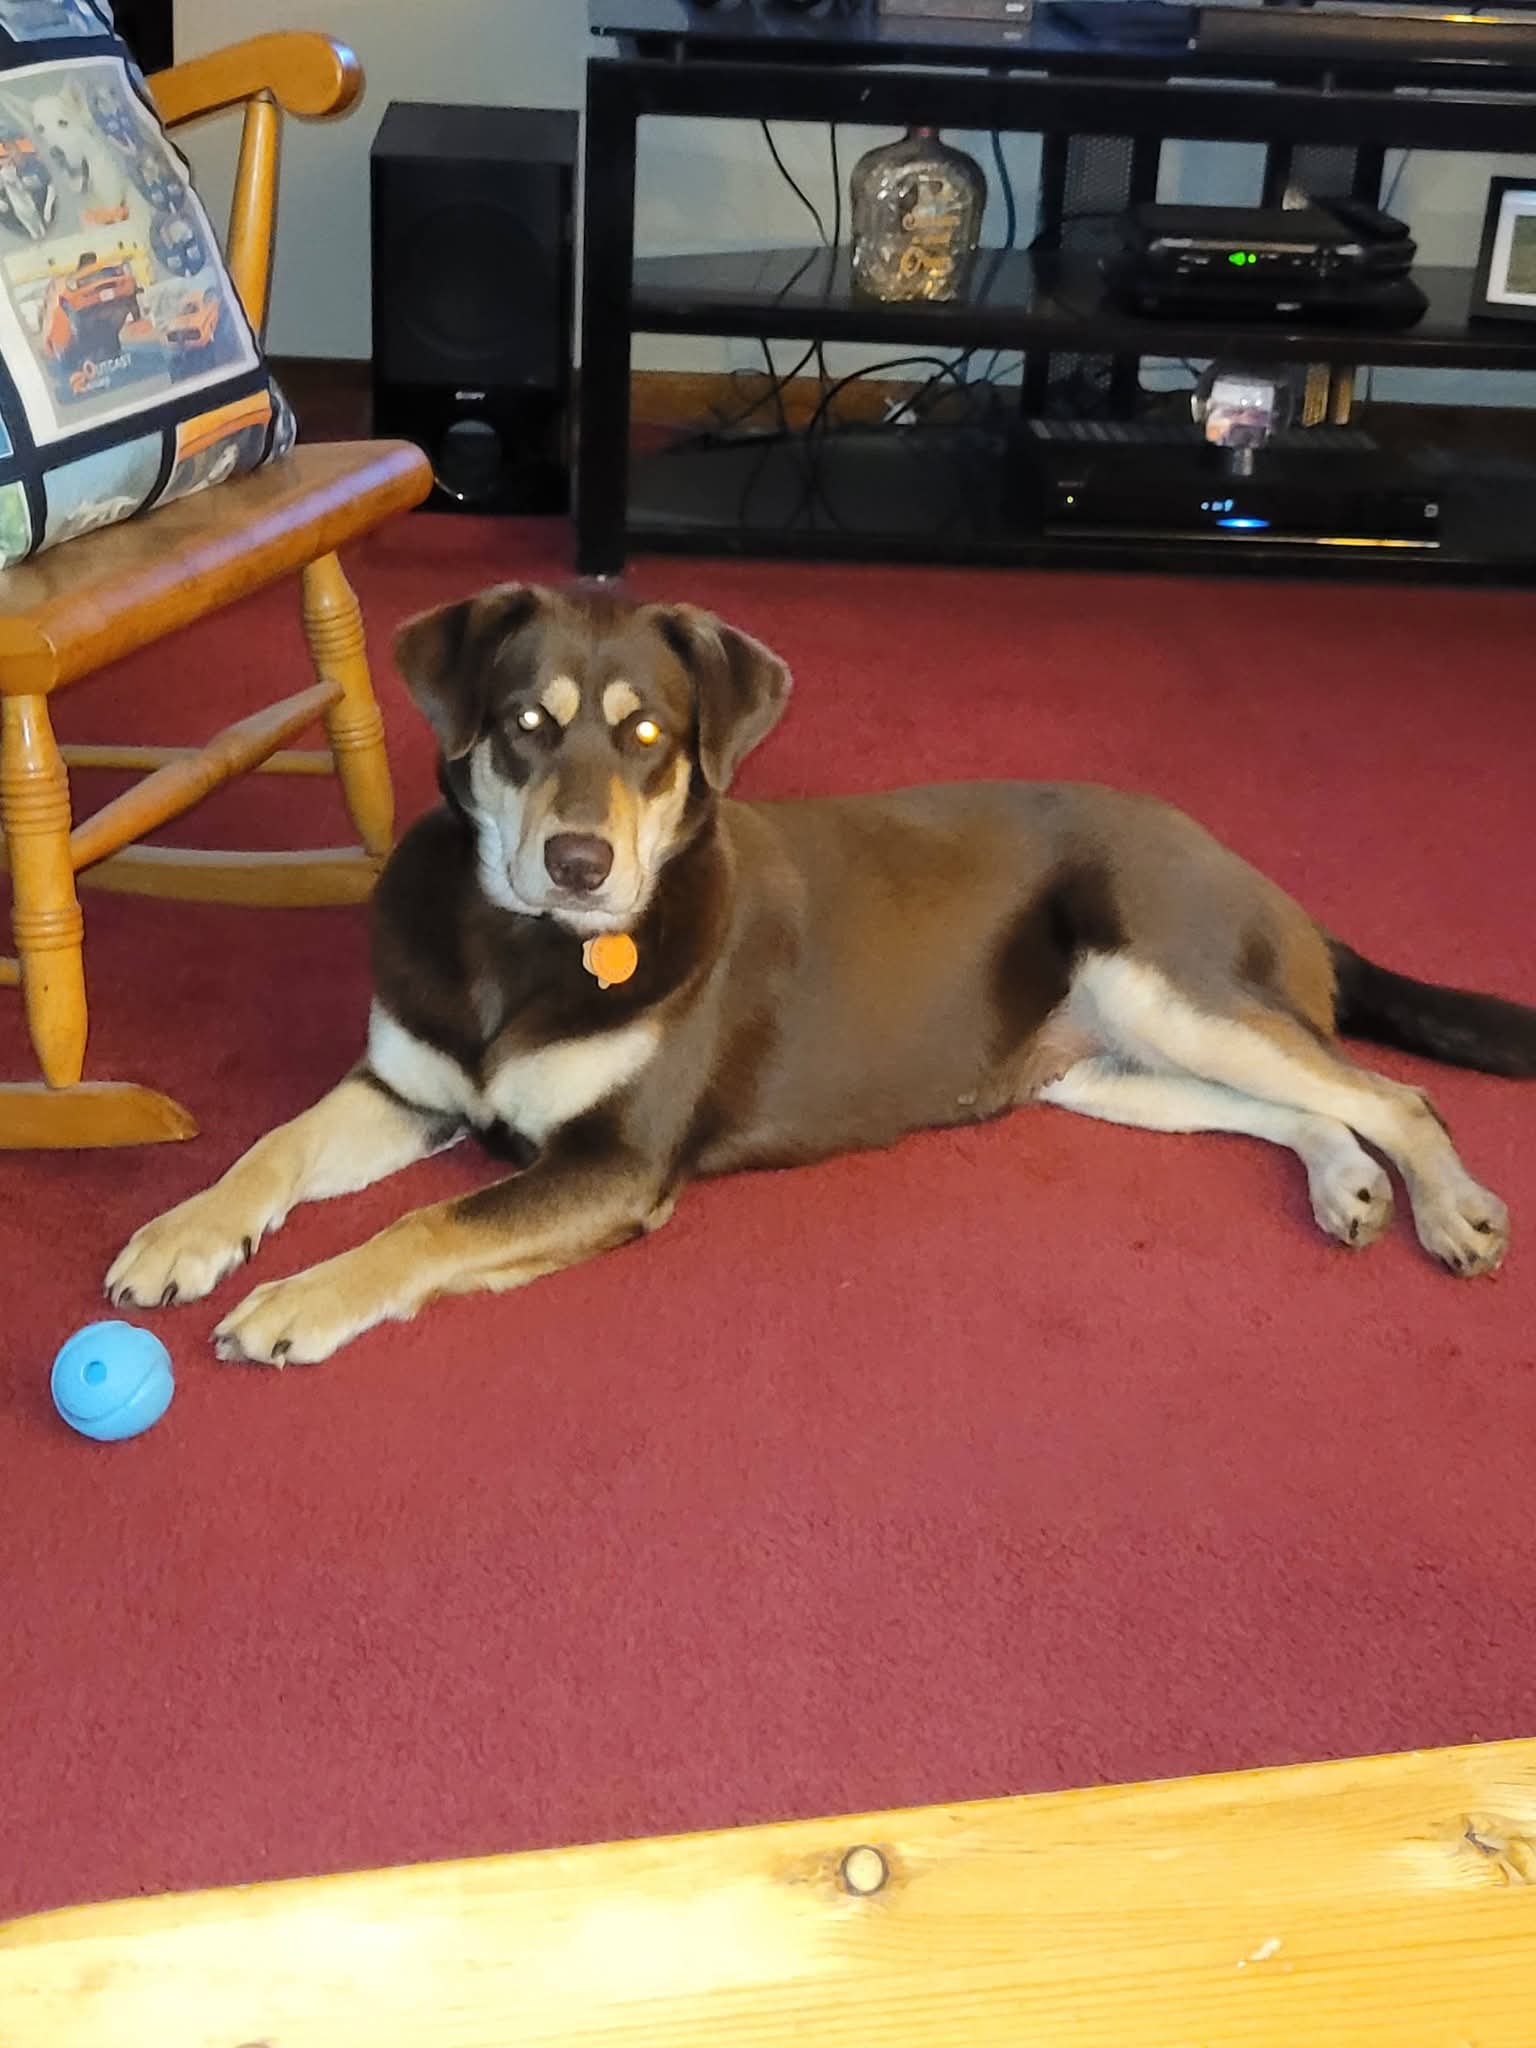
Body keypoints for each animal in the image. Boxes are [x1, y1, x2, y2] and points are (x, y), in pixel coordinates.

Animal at [107, 583, 1536, 1364]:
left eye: (647, 734)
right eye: (524, 725)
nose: (578, 862)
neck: (520, 942)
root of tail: (1250, 869)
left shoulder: (616, 1164)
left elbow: (422, 1229)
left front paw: (296, 1298)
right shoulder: (408, 1086)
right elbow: (272, 1149)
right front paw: (182, 1234)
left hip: (1164, 982)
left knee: (1391, 1092)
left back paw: (1452, 1208)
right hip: (1108, 1064)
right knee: (1305, 1104)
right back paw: (1348, 1184)